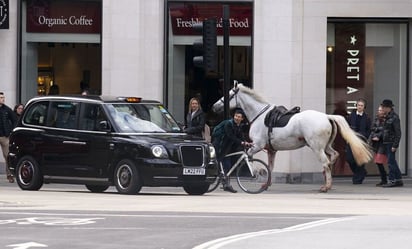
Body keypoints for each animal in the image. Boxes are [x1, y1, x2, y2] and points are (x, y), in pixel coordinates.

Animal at [212, 82, 374, 192]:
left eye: (229, 94)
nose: (214, 107)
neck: (260, 114)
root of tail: (327, 116)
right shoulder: (271, 150)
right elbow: (270, 167)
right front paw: (266, 184)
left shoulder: (256, 146)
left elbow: (245, 159)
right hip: (326, 146)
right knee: (334, 156)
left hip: (317, 148)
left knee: (326, 162)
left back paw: (326, 186)